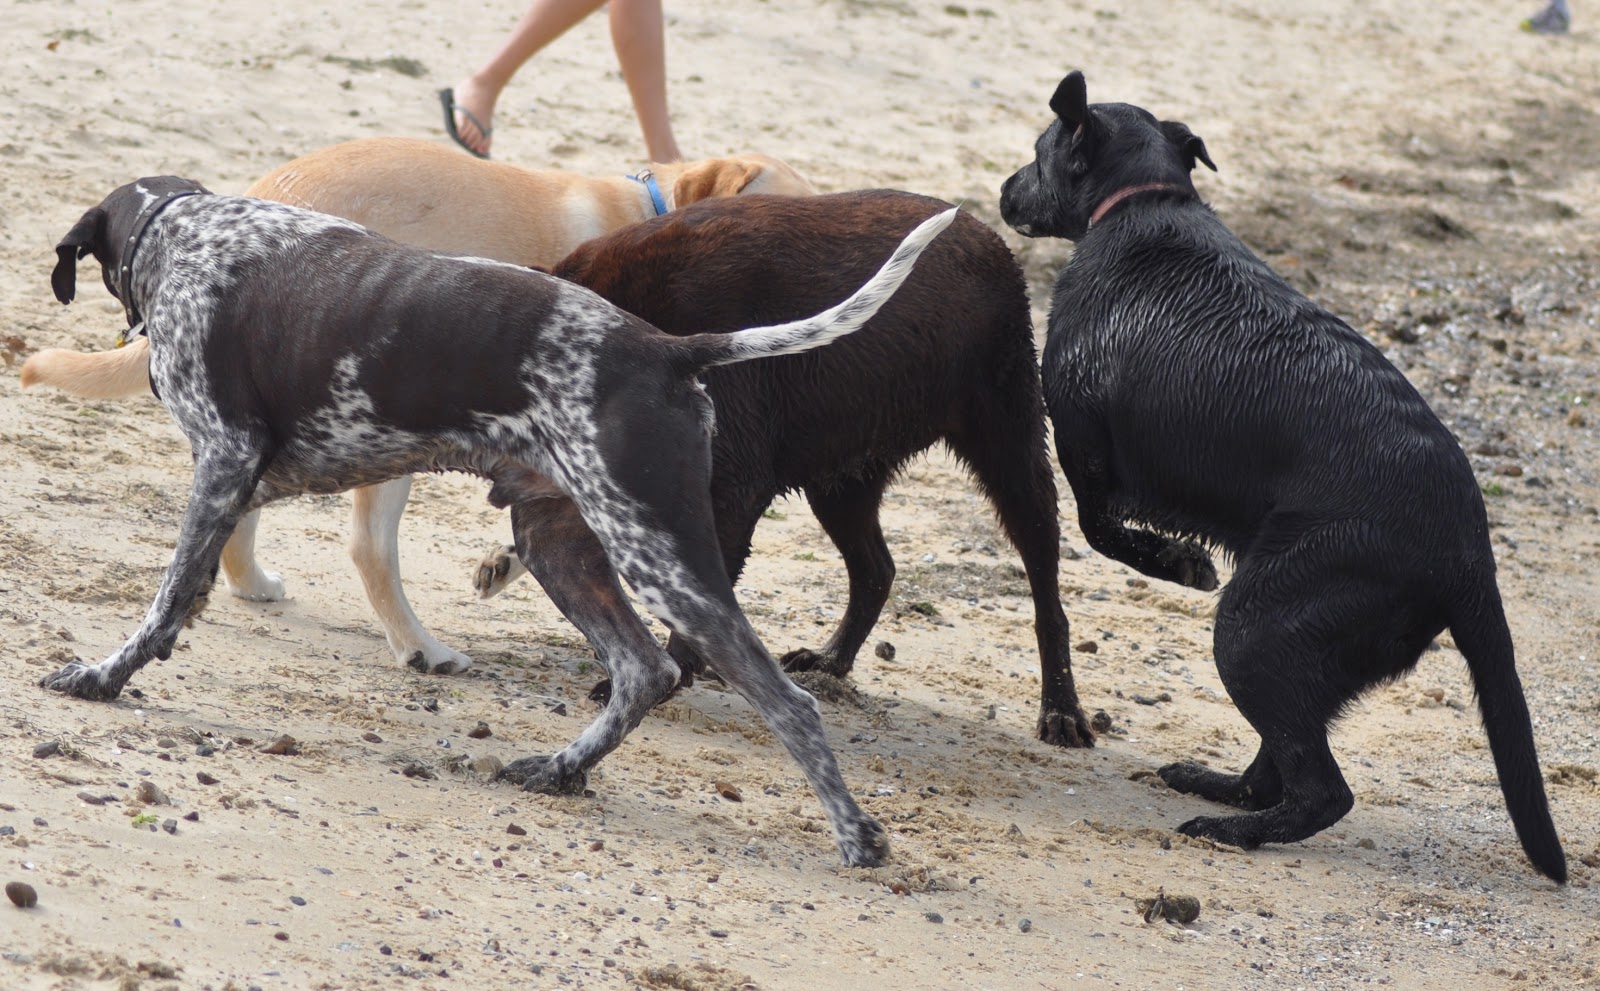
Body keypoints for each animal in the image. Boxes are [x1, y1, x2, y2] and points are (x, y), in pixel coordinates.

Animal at [473, 190, 1093, 747]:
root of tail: (991, 240)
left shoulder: (726, 490)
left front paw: (665, 676)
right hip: (843, 483)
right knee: (876, 569)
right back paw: (831, 660)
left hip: (1011, 450)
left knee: (1046, 591)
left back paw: (1062, 710)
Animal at [999, 71, 1565, 881]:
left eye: (1038, 150)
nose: (1003, 189)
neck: (1142, 199)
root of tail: (1469, 556)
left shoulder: (1084, 447)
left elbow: (1100, 527)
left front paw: (1178, 561)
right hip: (1288, 642)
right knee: (1280, 759)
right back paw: (1217, 788)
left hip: (1254, 624)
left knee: (1323, 790)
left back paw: (1228, 828)